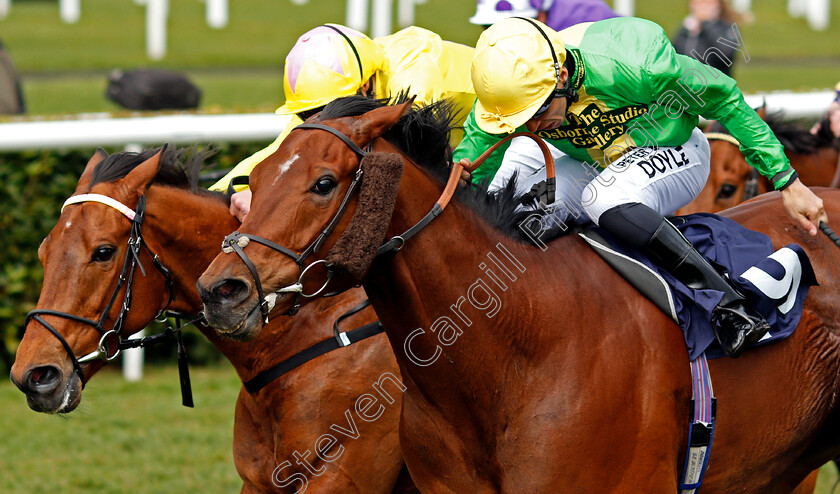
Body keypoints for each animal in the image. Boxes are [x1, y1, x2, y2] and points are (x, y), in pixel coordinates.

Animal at [11, 149, 418, 494]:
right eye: (43, 252)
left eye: (103, 252)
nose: (33, 375)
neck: (302, 330)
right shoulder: (259, 480)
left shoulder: (340, 474)